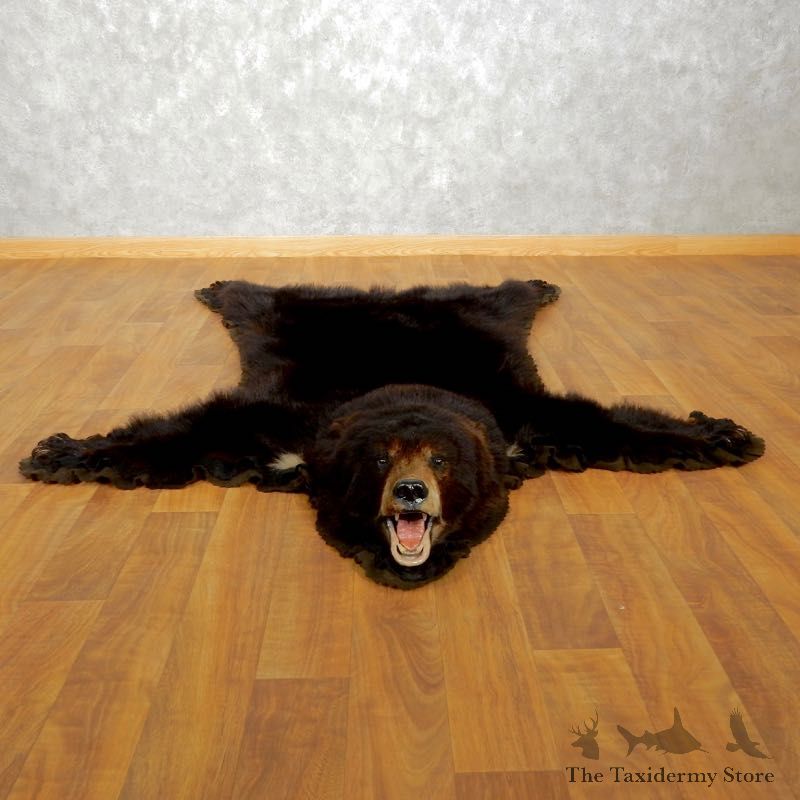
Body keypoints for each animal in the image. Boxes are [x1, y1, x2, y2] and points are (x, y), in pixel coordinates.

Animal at [20, 278, 765, 588]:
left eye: (443, 461)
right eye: (378, 461)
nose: (410, 494)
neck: (402, 390)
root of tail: (390, 298)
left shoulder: (526, 417)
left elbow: (617, 424)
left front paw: (723, 438)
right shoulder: (274, 420)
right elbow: (177, 433)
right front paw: (67, 453)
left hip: (485, 310)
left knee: (508, 291)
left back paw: (540, 282)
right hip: (280, 313)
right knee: (253, 295)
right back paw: (219, 283)